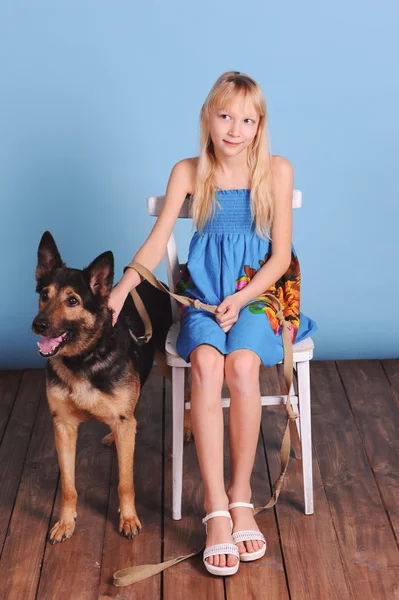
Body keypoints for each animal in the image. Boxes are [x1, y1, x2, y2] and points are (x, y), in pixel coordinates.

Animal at [32, 232, 174, 540]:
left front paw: (129, 518)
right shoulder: (63, 426)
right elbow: (68, 486)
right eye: (44, 295)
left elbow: (125, 482)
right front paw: (66, 522)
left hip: (166, 360)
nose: (38, 325)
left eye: (72, 300)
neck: (85, 359)